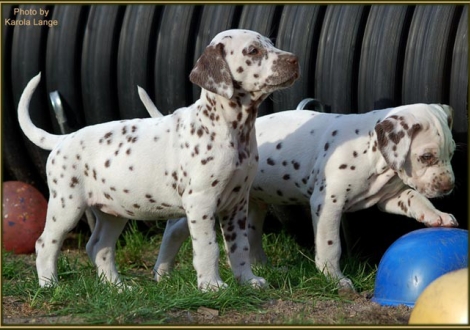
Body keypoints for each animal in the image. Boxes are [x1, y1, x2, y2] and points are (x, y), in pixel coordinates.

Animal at [18, 29, 300, 292]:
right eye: (253, 51)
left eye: (271, 43)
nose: (295, 59)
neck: (229, 128)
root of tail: (63, 138)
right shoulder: (201, 202)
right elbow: (209, 248)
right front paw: (211, 286)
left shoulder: (237, 203)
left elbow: (239, 246)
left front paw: (248, 281)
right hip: (67, 206)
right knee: (46, 244)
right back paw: (49, 285)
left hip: (112, 212)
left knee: (99, 246)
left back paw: (116, 287)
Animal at [149, 101, 458, 292]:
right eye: (426, 156)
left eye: (452, 152)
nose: (448, 186)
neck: (371, 151)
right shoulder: (328, 203)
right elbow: (330, 245)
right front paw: (334, 278)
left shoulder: (390, 197)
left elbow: (416, 199)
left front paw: (438, 216)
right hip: (207, 204)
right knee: (173, 231)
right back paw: (162, 274)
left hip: (252, 205)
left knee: (251, 238)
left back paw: (266, 268)